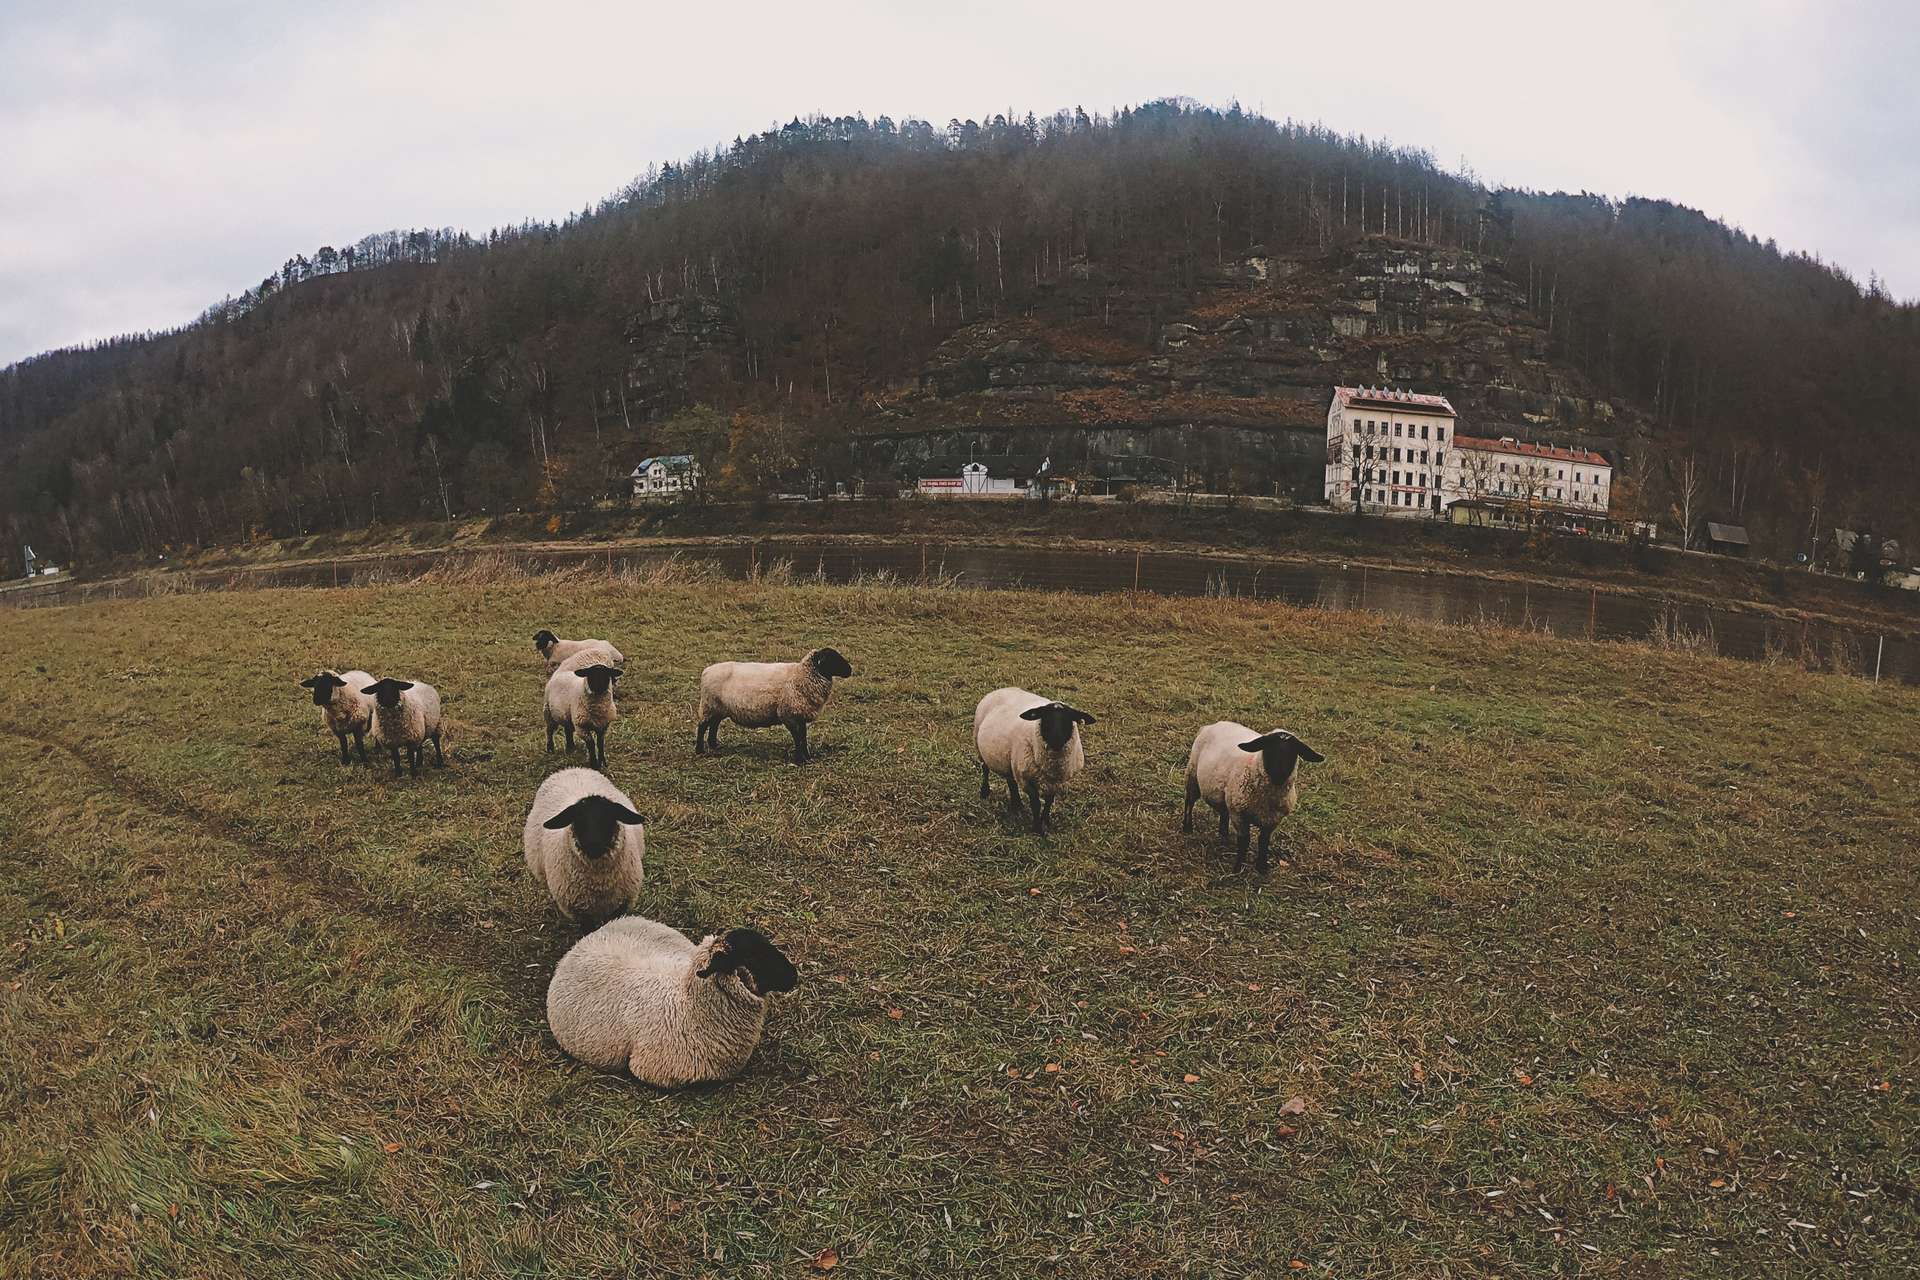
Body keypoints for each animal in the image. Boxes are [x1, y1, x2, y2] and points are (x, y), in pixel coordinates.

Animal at [522, 767, 648, 924]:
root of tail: (572, 768)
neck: (601, 883)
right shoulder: (579, 910)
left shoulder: (622, 904)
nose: (593, 845)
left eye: (610, 817)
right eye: (578, 819)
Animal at [698, 644, 856, 767]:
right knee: (702, 726)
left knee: (714, 724)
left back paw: (714, 745)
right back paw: (700, 750)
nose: (850, 670)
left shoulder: (800, 714)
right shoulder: (788, 714)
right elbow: (797, 737)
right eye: (832, 659)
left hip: (718, 707)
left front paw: (807, 756)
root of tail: (706, 671)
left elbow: (803, 736)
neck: (802, 675)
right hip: (709, 704)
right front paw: (800, 759)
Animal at [975, 687, 1098, 836]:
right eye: (1046, 718)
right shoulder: (1026, 779)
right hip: (978, 742)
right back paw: (985, 792)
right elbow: (1036, 804)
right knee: (985, 769)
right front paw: (1038, 828)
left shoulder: (1056, 781)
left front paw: (1046, 820)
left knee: (1011, 780)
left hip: (1010, 760)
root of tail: (1002, 689)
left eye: (1068, 719)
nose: (1056, 740)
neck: (1053, 765)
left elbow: (1049, 801)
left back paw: (1017, 804)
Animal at [1175, 721, 1328, 871]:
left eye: (1293, 752)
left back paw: (1224, 835)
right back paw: (1188, 827)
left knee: (1223, 812)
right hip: (1192, 775)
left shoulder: (1272, 820)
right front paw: (1238, 867)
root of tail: (1213, 725)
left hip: (1225, 795)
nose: (1279, 775)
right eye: (1269, 748)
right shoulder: (1239, 815)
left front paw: (1261, 867)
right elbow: (1244, 841)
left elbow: (1263, 842)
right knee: (1189, 802)